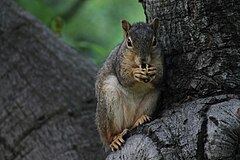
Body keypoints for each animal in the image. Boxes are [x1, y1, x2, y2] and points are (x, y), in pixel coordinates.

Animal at [95, 18, 163, 152]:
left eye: (154, 41)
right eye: (129, 42)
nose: (143, 60)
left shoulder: (160, 60)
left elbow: (161, 76)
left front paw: (154, 72)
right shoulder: (120, 63)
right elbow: (124, 77)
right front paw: (135, 73)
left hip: (152, 97)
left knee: (132, 125)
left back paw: (140, 119)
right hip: (109, 99)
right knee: (111, 134)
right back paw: (115, 139)